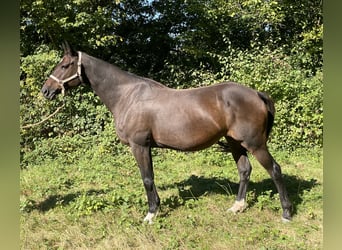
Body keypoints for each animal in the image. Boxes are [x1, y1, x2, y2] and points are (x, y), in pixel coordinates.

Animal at [40, 42, 292, 223]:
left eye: (64, 65)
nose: (46, 91)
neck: (127, 96)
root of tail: (256, 94)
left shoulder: (139, 145)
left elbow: (147, 178)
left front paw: (151, 213)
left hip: (255, 143)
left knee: (275, 170)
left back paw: (286, 213)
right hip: (234, 142)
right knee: (244, 170)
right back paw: (237, 207)